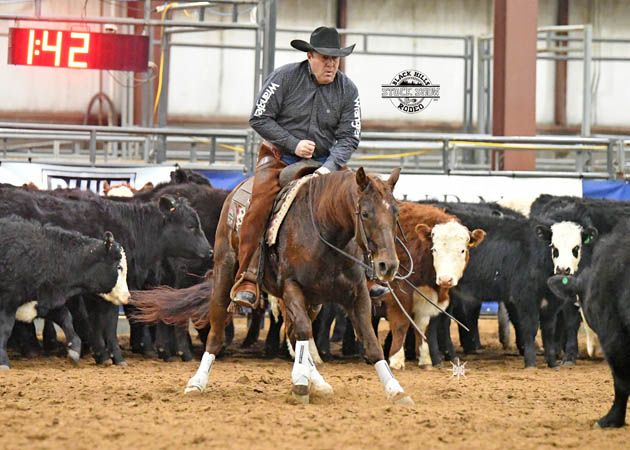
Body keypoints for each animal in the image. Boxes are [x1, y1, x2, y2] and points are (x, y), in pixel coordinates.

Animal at [0, 217, 127, 370]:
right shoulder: (7, 303)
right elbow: (5, 329)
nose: (127, 297)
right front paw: (3, 362)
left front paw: (74, 350)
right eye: (119, 267)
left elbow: (65, 318)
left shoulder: (45, 299)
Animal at [185, 166, 414, 404]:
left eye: (396, 212)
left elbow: (371, 342)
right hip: (225, 272)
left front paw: (395, 390)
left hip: (312, 303)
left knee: (292, 334)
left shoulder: (357, 295)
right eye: (366, 213)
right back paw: (197, 382)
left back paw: (319, 383)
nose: (388, 265)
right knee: (217, 330)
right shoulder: (291, 287)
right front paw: (301, 384)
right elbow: (304, 330)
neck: (326, 233)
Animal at [382, 201, 486, 370]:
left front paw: (425, 359)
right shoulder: (399, 292)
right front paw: (396, 360)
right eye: (434, 249)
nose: (445, 279)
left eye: (462, 250)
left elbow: (422, 326)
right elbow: (401, 323)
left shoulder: (428, 297)